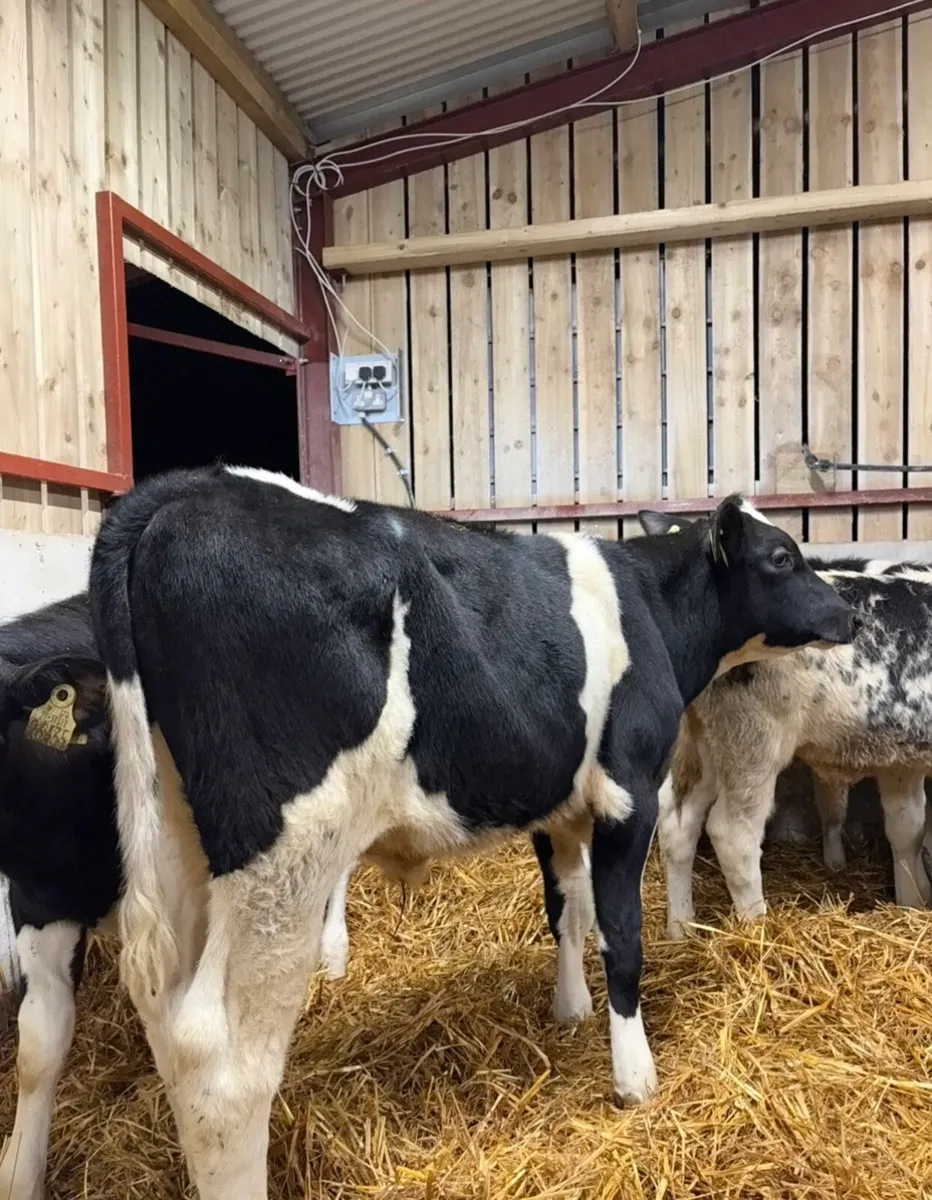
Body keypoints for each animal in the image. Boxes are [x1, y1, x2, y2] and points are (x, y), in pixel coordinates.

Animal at [65, 465, 854, 1200]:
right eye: (782, 556)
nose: (847, 610)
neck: (652, 612)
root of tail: (192, 486)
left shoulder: (559, 806)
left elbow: (567, 910)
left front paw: (568, 1011)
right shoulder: (627, 791)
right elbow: (620, 935)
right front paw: (634, 1075)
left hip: (173, 836)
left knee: (168, 1021)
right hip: (283, 852)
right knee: (222, 1062)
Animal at [637, 510, 932, 939]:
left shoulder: (901, 755)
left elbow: (907, 826)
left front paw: (913, 902)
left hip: (703, 741)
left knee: (678, 821)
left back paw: (681, 929)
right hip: (753, 740)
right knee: (733, 833)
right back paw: (755, 928)